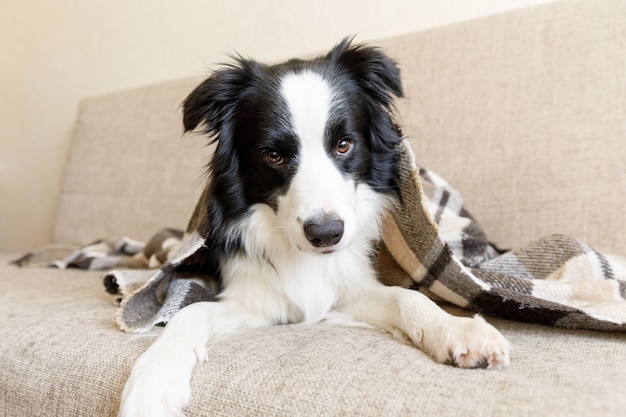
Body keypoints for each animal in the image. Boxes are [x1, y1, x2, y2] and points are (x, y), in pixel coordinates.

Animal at [117, 37, 508, 414]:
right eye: (273, 155)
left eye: (344, 145)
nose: (326, 234)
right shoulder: (256, 298)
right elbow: (190, 312)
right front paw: (153, 380)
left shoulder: (347, 286)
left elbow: (406, 297)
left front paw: (457, 330)